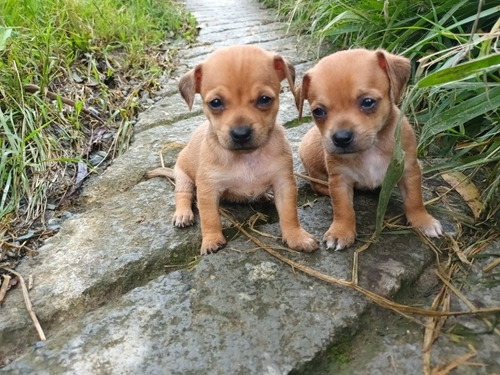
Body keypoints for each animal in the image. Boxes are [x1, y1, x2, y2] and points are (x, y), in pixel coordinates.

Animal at [150, 44, 318, 256]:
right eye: (215, 103)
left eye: (265, 99)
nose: (241, 133)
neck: (246, 157)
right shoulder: (208, 190)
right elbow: (209, 218)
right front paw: (211, 240)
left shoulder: (284, 183)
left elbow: (289, 214)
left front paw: (296, 237)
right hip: (183, 177)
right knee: (183, 195)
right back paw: (183, 214)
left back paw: (265, 196)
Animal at [296, 48, 442, 251]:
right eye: (318, 111)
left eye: (367, 102)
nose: (341, 138)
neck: (370, 148)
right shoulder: (340, 180)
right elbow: (343, 209)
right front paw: (341, 231)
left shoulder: (408, 171)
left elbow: (414, 199)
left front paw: (423, 221)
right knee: (318, 185)